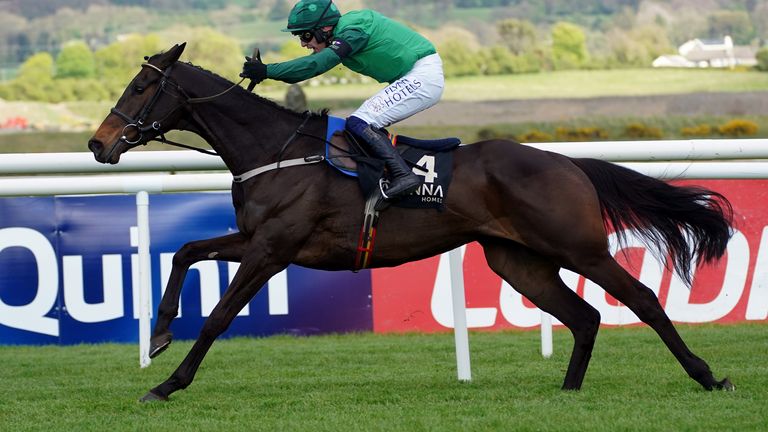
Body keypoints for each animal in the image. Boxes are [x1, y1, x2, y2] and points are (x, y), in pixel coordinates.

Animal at [87, 44, 736, 402]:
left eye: (141, 86)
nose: (97, 144)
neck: (275, 149)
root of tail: (567, 161)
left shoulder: (272, 248)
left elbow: (220, 316)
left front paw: (167, 383)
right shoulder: (254, 238)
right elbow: (185, 251)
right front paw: (158, 335)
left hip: (580, 247)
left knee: (642, 300)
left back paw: (709, 377)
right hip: (519, 260)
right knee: (584, 316)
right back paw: (569, 392)